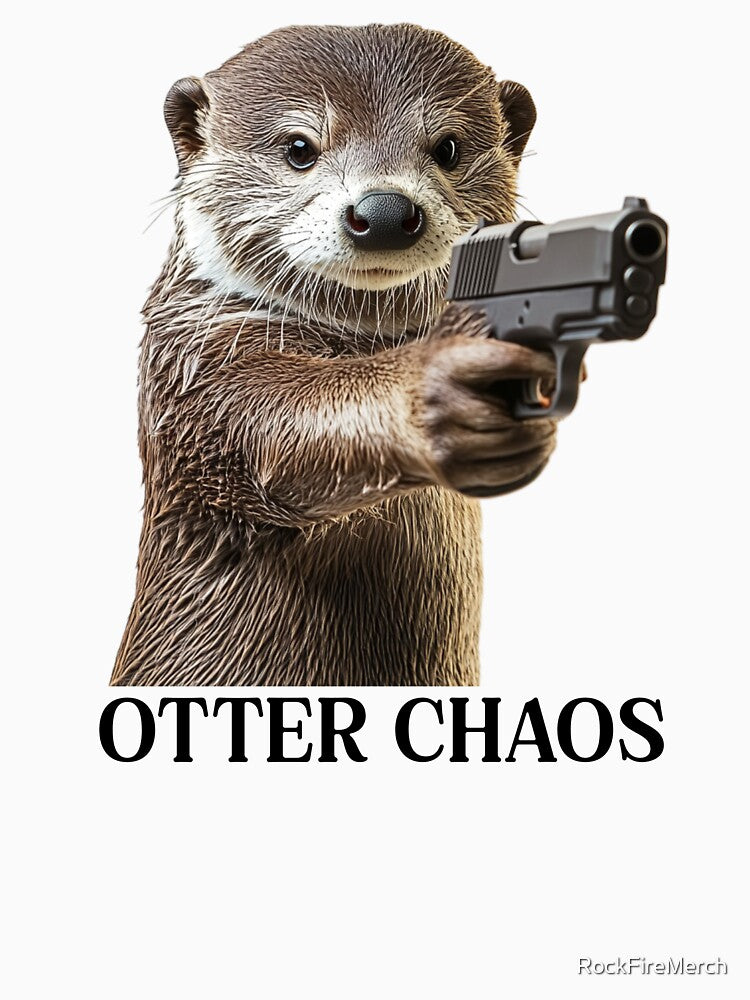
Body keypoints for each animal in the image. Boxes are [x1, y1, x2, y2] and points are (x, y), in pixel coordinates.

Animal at [112, 23, 559, 686]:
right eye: (300, 147)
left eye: (448, 147)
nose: (385, 211)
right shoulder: (198, 372)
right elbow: (284, 424)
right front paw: (438, 395)